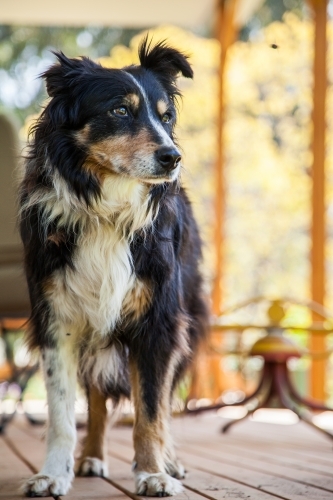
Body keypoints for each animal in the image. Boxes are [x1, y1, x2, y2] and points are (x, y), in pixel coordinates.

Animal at [18, 38, 208, 496]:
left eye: (166, 116)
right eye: (120, 110)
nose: (173, 157)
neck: (106, 210)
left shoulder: (158, 323)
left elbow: (150, 411)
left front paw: (154, 472)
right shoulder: (58, 318)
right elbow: (62, 414)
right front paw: (53, 474)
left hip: (187, 321)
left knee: (163, 403)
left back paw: (170, 461)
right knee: (98, 400)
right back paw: (91, 457)